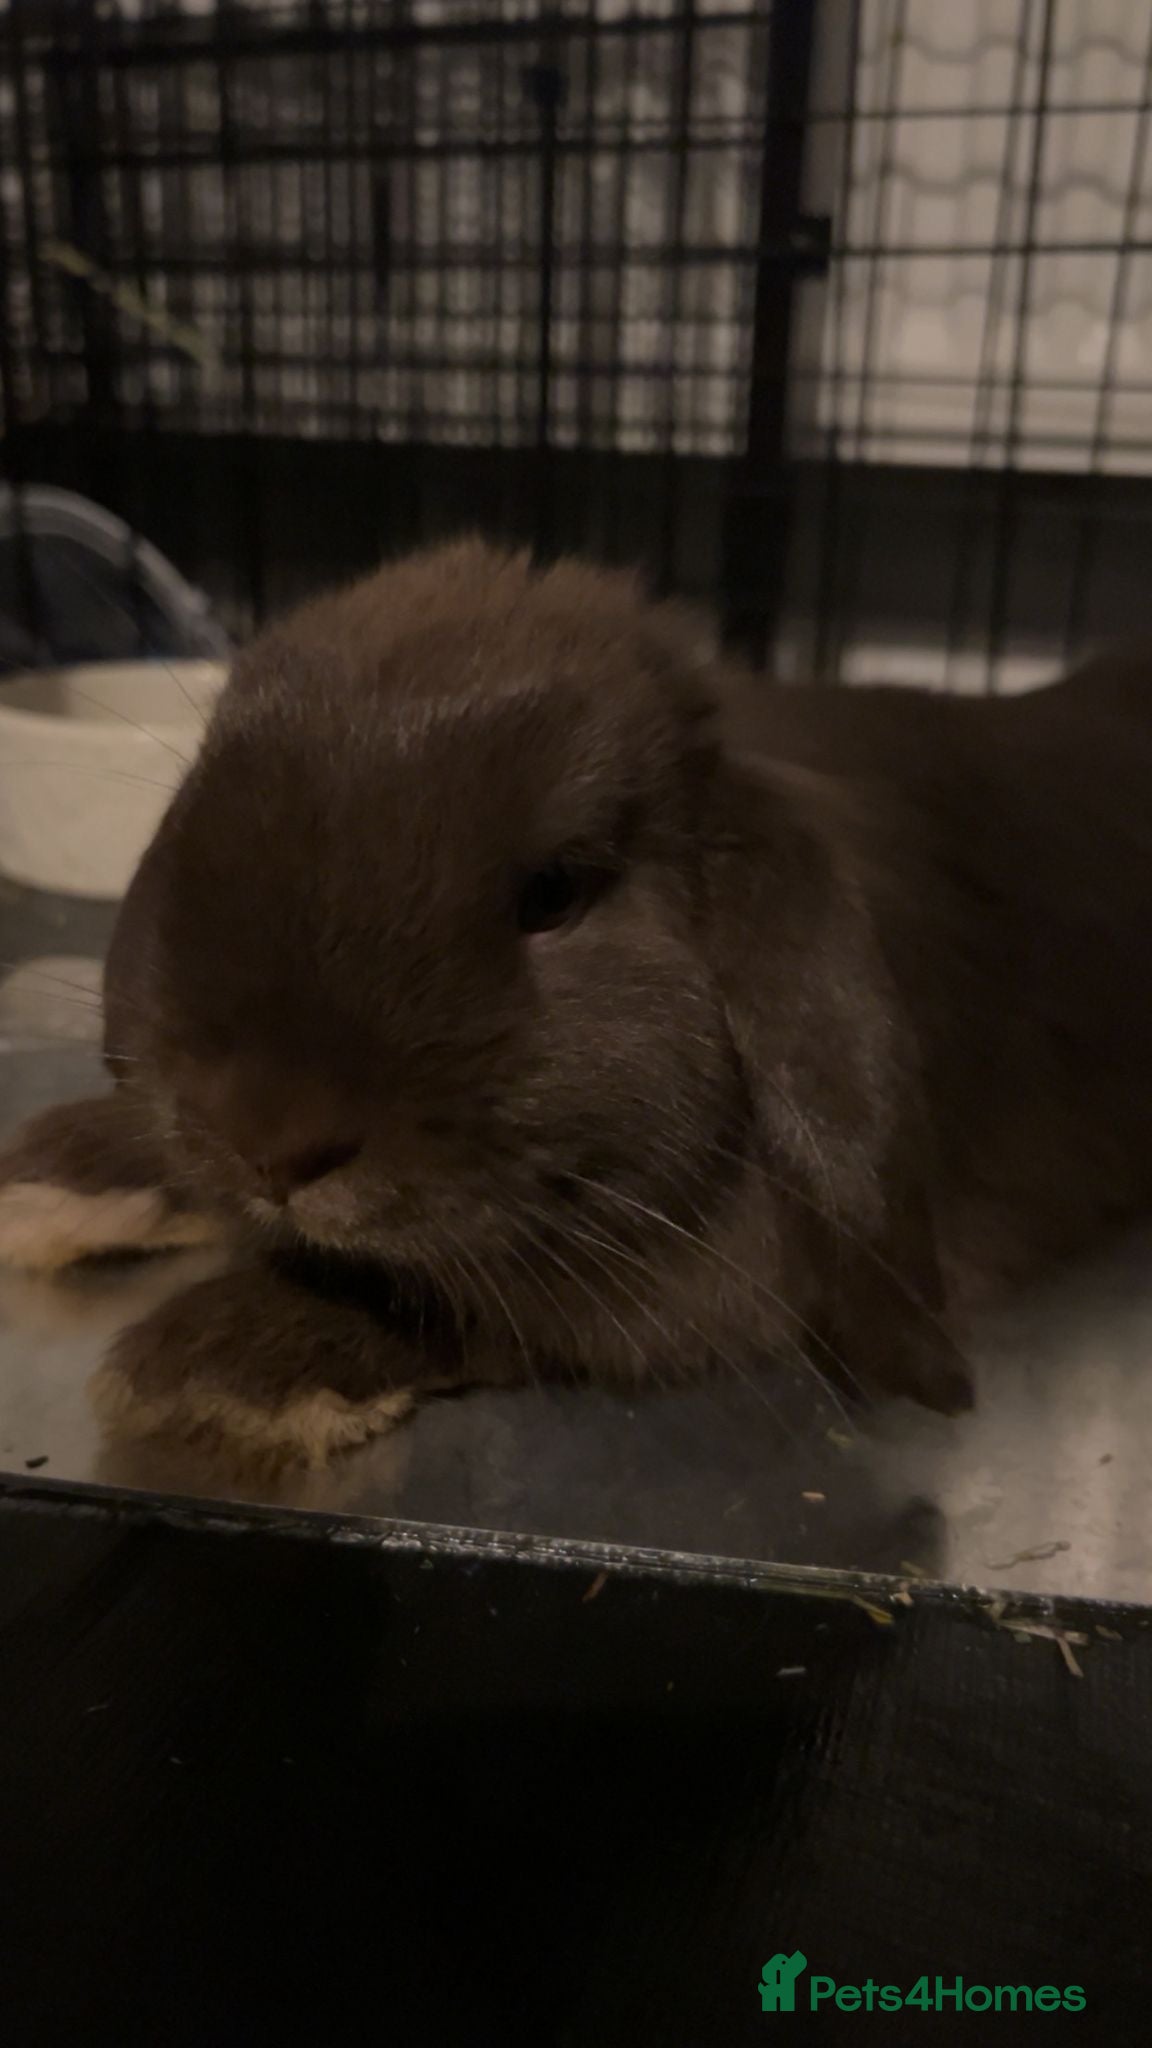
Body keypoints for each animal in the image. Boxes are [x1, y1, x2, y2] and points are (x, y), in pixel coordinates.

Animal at [3, 538, 1151, 1465]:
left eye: (552, 892)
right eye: (204, 804)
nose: (268, 1138)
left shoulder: (705, 1290)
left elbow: (497, 1302)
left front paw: (221, 1365)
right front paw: (59, 1170)